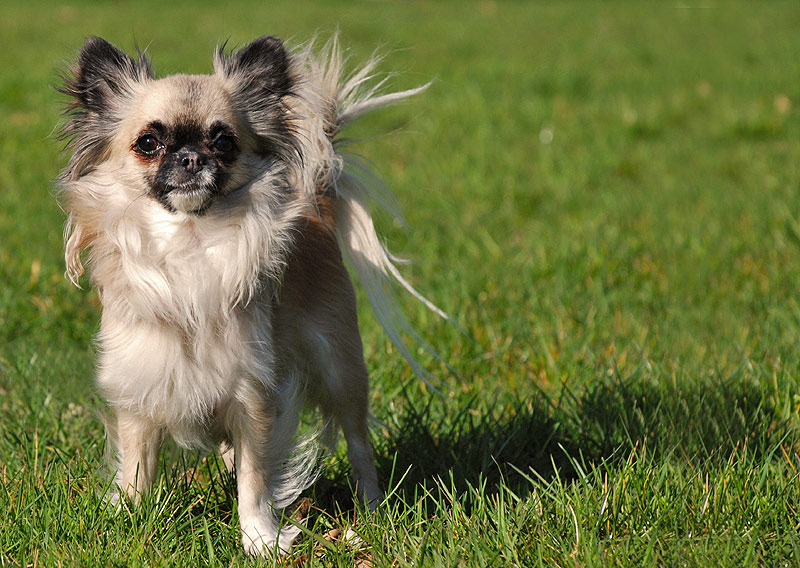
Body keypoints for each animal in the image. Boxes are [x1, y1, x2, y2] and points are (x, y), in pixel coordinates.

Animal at [56, 34, 444, 556]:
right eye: (149, 144)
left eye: (223, 142)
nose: (191, 158)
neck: (190, 244)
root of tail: (317, 205)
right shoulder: (141, 393)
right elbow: (137, 471)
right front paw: (127, 523)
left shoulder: (254, 395)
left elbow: (256, 481)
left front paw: (260, 539)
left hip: (340, 369)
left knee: (358, 442)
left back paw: (373, 508)